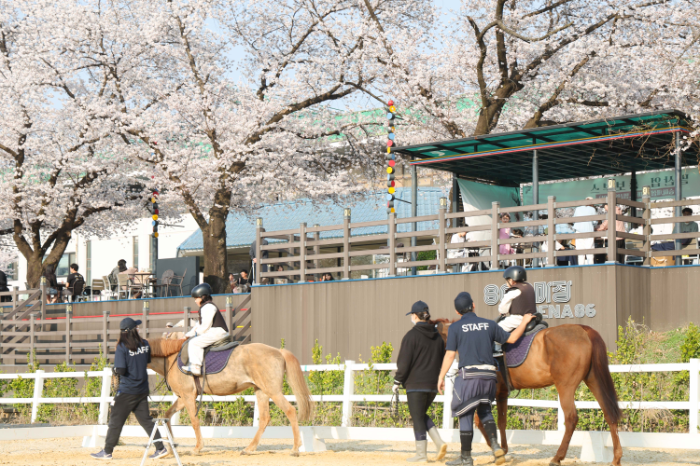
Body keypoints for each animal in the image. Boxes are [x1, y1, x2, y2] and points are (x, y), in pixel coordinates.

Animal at [147, 338, 314, 456]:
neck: (171, 359)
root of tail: (278, 351)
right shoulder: (184, 397)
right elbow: (167, 415)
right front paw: (172, 446)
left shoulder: (188, 396)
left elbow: (194, 422)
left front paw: (197, 448)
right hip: (261, 391)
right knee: (265, 418)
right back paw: (249, 448)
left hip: (272, 391)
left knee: (290, 410)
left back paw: (295, 448)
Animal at [434, 319, 623, 466]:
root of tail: (583, 330)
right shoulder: (502, 394)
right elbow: (501, 422)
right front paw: (503, 449)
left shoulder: (487, 394)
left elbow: (480, 421)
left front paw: (497, 450)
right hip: (594, 380)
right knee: (609, 413)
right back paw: (616, 458)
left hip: (565, 386)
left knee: (571, 418)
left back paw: (557, 457)